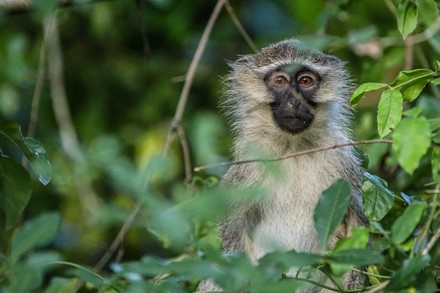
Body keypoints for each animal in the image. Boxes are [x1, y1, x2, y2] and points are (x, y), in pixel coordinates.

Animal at [198, 38, 366, 290]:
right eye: (280, 81)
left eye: (306, 81)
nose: (294, 101)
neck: (293, 147)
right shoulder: (248, 165)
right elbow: (233, 231)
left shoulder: (343, 160)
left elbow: (356, 228)